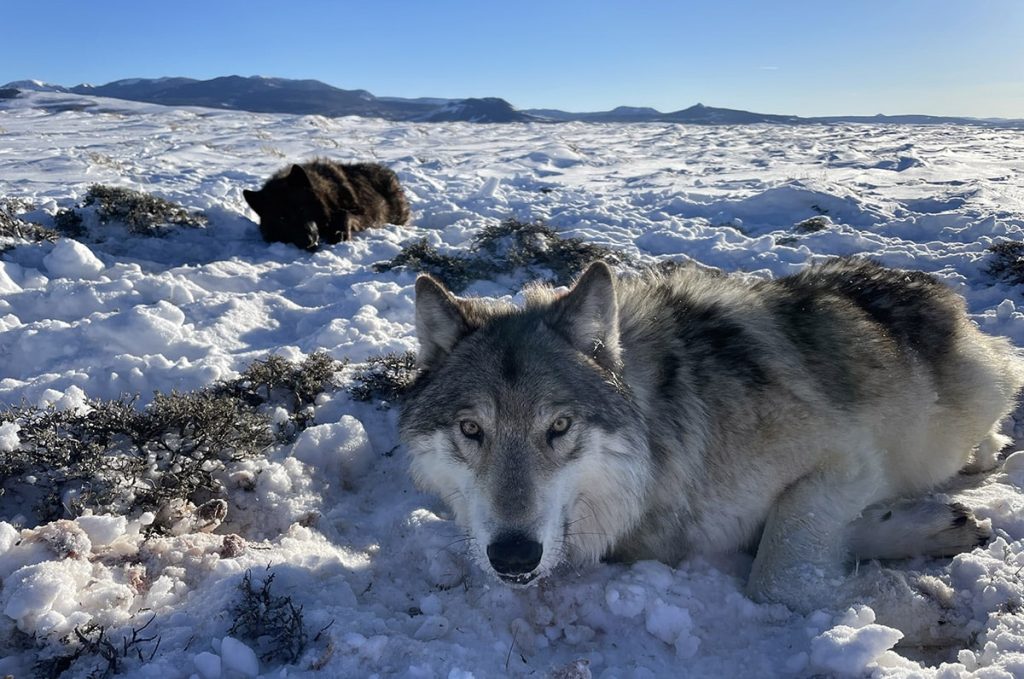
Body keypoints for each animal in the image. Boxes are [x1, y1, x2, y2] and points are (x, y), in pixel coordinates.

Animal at [243, 160, 410, 250]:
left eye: (301, 209)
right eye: (282, 219)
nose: (308, 240)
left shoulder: (363, 214)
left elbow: (343, 213)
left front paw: (339, 235)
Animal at [400, 258, 1024, 642]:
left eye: (558, 426)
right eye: (471, 430)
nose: (512, 557)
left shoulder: (847, 458)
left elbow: (777, 575)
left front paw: (916, 612)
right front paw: (917, 543)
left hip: (978, 392)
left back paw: (984, 454)